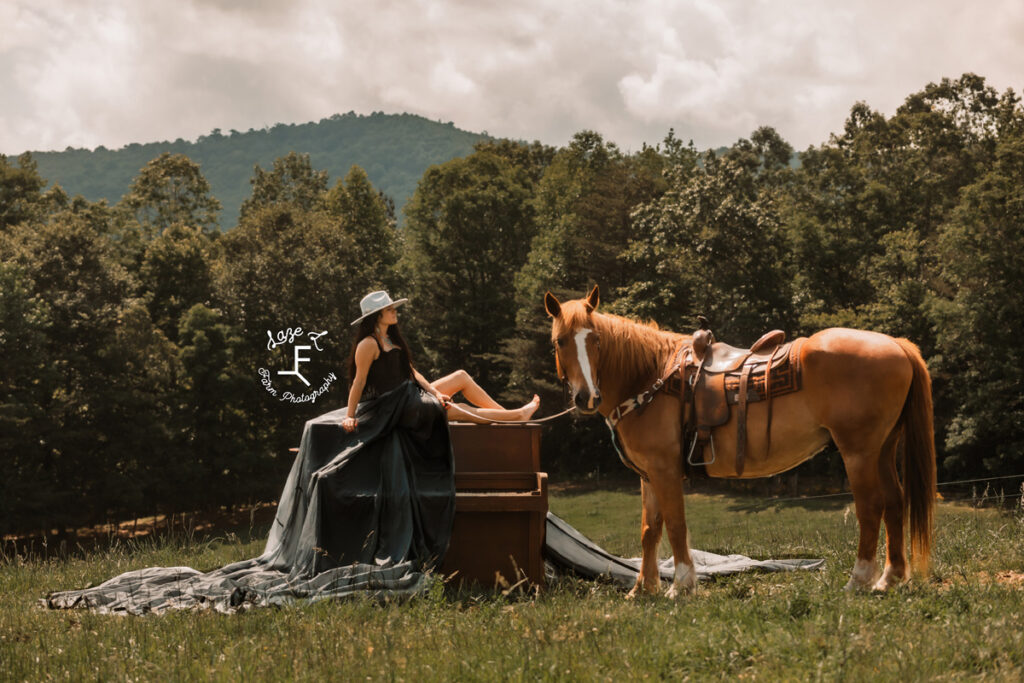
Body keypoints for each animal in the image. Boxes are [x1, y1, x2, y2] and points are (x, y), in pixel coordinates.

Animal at [544, 286, 937, 593]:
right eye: (559, 342)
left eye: (595, 340)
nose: (586, 397)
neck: (650, 376)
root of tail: (896, 344)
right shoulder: (648, 475)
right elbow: (649, 530)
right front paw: (642, 589)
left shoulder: (665, 470)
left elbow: (675, 525)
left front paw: (680, 586)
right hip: (883, 449)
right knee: (895, 502)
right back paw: (889, 578)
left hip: (859, 452)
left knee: (871, 507)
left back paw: (859, 581)